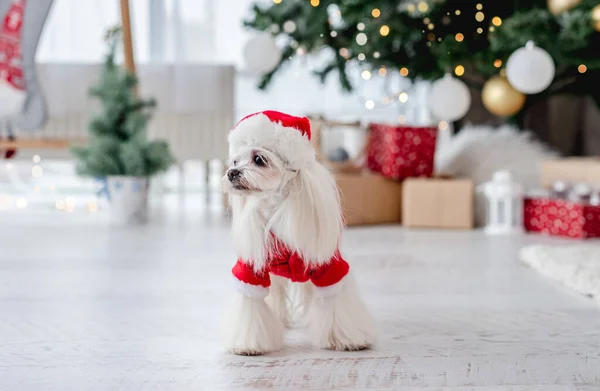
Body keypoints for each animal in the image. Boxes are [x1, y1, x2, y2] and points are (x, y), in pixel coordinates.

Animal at [220, 109, 376, 356]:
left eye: (259, 159)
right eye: (235, 160)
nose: (231, 173)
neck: (276, 208)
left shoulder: (328, 264)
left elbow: (335, 300)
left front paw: (347, 339)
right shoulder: (251, 267)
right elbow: (250, 302)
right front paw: (248, 344)